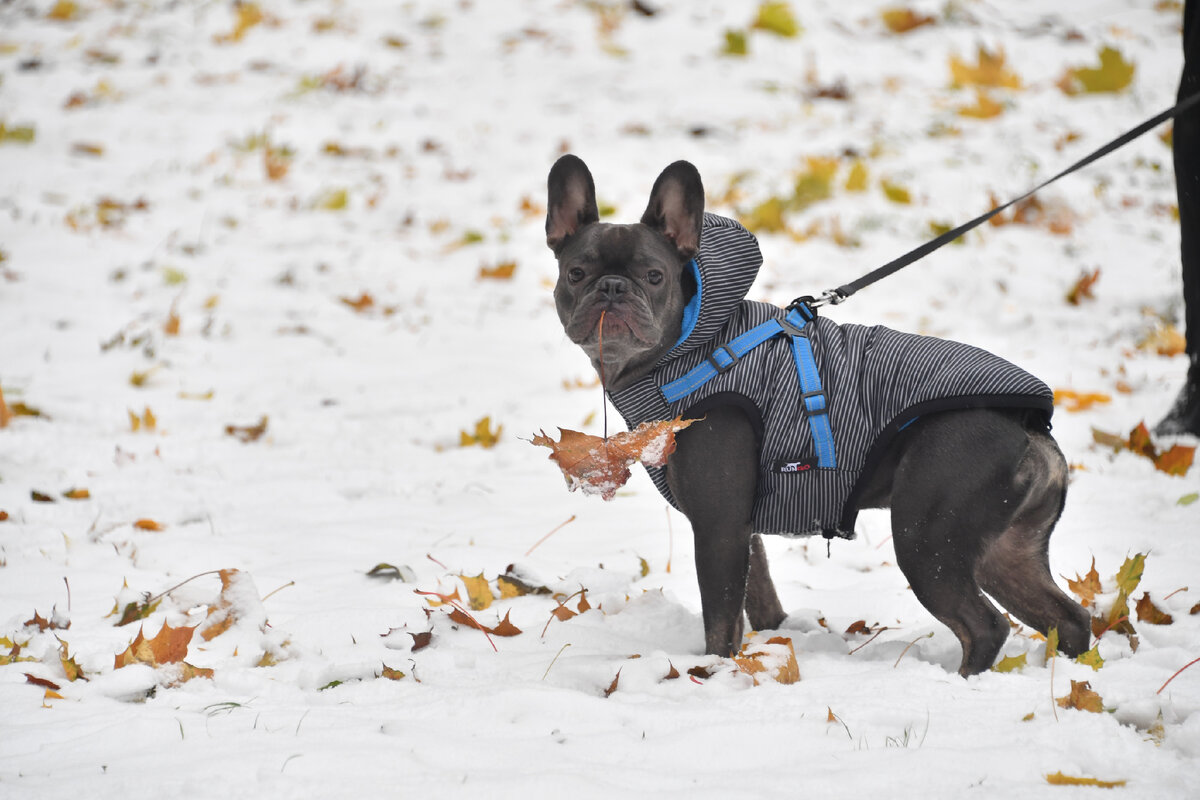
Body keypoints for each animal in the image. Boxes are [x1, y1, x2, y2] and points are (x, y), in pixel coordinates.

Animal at [549, 154, 1094, 676]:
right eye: (575, 274)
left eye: (654, 276)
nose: (612, 288)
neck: (690, 345)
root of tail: (1028, 428)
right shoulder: (742, 529)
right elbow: (760, 597)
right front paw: (768, 646)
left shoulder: (717, 527)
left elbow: (721, 620)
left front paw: (715, 672)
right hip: (1006, 551)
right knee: (1067, 617)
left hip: (927, 538)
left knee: (984, 626)